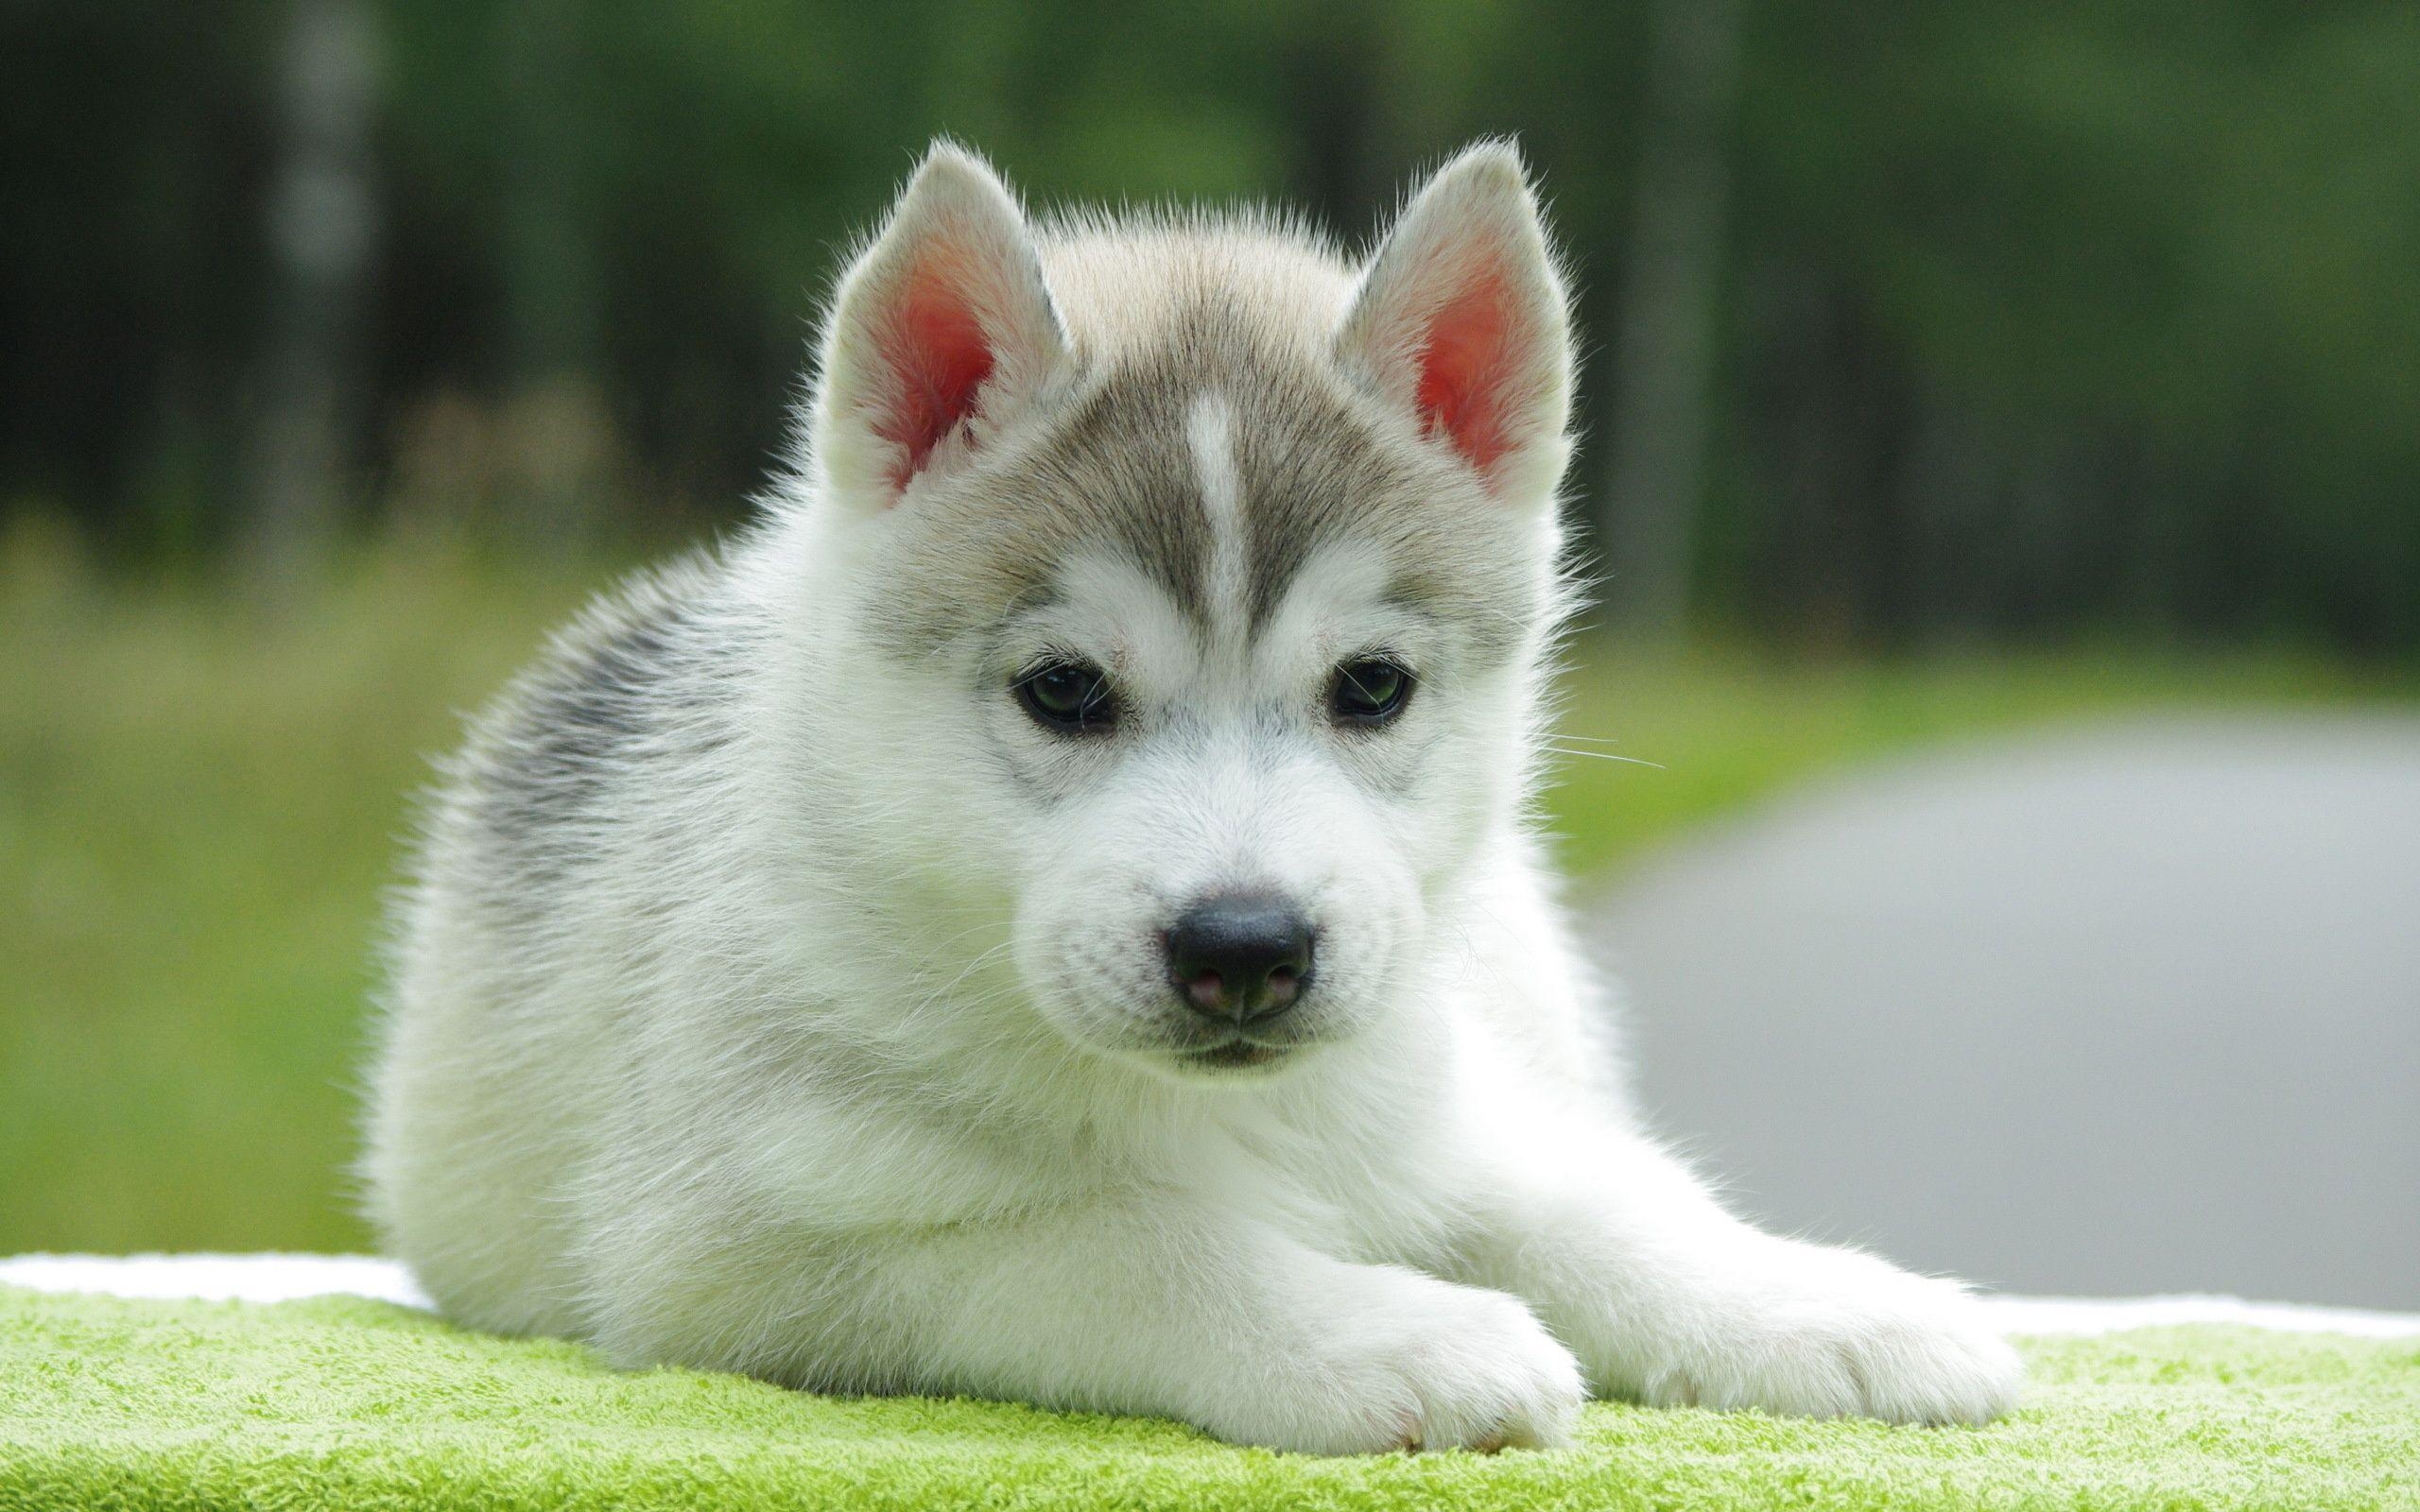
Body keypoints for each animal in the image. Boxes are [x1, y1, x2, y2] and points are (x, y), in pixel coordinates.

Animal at [363, 141, 2023, 1452]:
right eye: (1063, 691)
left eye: (1372, 687)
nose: (1245, 948)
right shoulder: (738, 1255)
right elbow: (1119, 1243)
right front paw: (1393, 1334)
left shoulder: (1435, 1109)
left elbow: (1593, 1207)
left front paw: (1820, 1303)